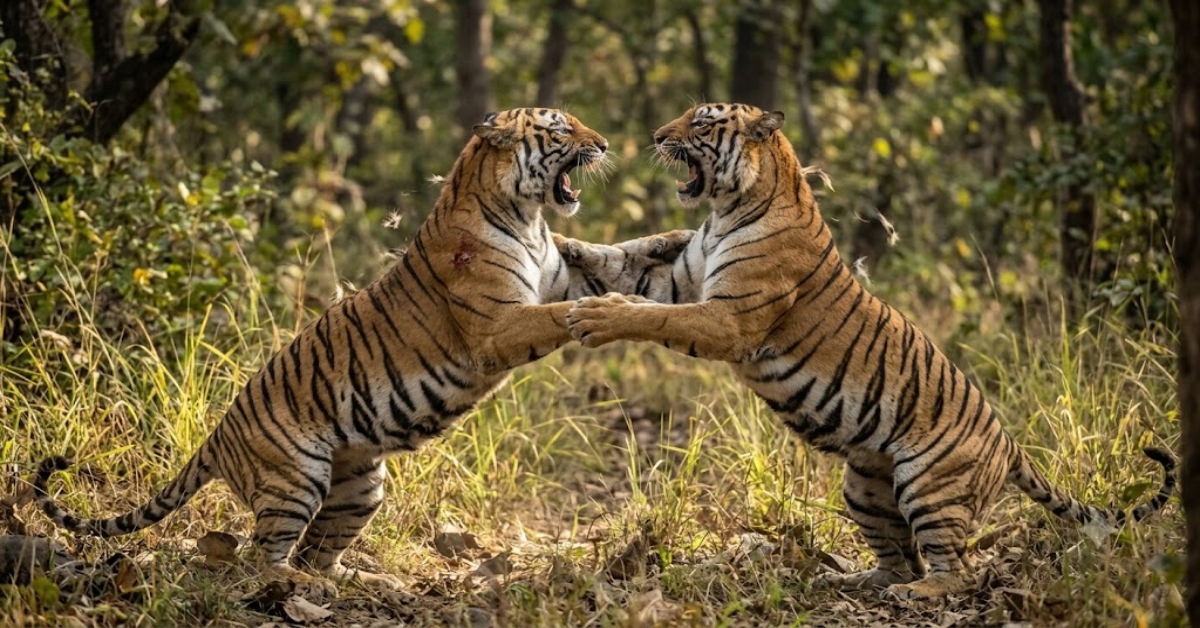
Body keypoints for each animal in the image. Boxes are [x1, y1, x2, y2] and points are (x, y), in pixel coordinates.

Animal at [31, 107, 687, 589]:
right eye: (560, 130)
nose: (605, 143)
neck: (526, 217)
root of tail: (216, 438)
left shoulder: (561, 273)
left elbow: (617, 253)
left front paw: (674, 238)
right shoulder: (500, 325)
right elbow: (555, 315)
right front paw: (598, 313)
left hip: (359, 490)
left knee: (316, 554)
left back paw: (367, 582)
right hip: (296, 477)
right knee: (263, 561)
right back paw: (304, 588)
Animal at [563, 103, 1176, 600]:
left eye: (702, 123)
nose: (654, 135)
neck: (726, 209)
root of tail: (1008, 441)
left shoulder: (726, 318)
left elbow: (651, 314)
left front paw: (596, 313)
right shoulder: (682, 282)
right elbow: (625, 260)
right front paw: (568, 245)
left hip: (929, 487)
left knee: (955, 570)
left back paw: (916, 595)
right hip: (864, 488)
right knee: (899, 560)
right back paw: (849, 579)